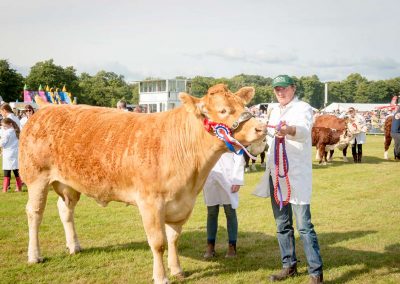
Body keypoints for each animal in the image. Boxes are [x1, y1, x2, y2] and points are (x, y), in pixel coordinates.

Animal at [20, 84, 268, 284]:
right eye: (223, 110)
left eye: (244, 105)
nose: (261, 128)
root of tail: (48, 108)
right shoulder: (150, 201)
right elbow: (158, 242)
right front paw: (161, 277)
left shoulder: (182, 203)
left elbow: (174, 238)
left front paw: (177, 270)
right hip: (36, 177)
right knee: (34, 213)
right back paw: (34, 255)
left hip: (69, 183)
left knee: (65, 210)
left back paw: (74, 246)